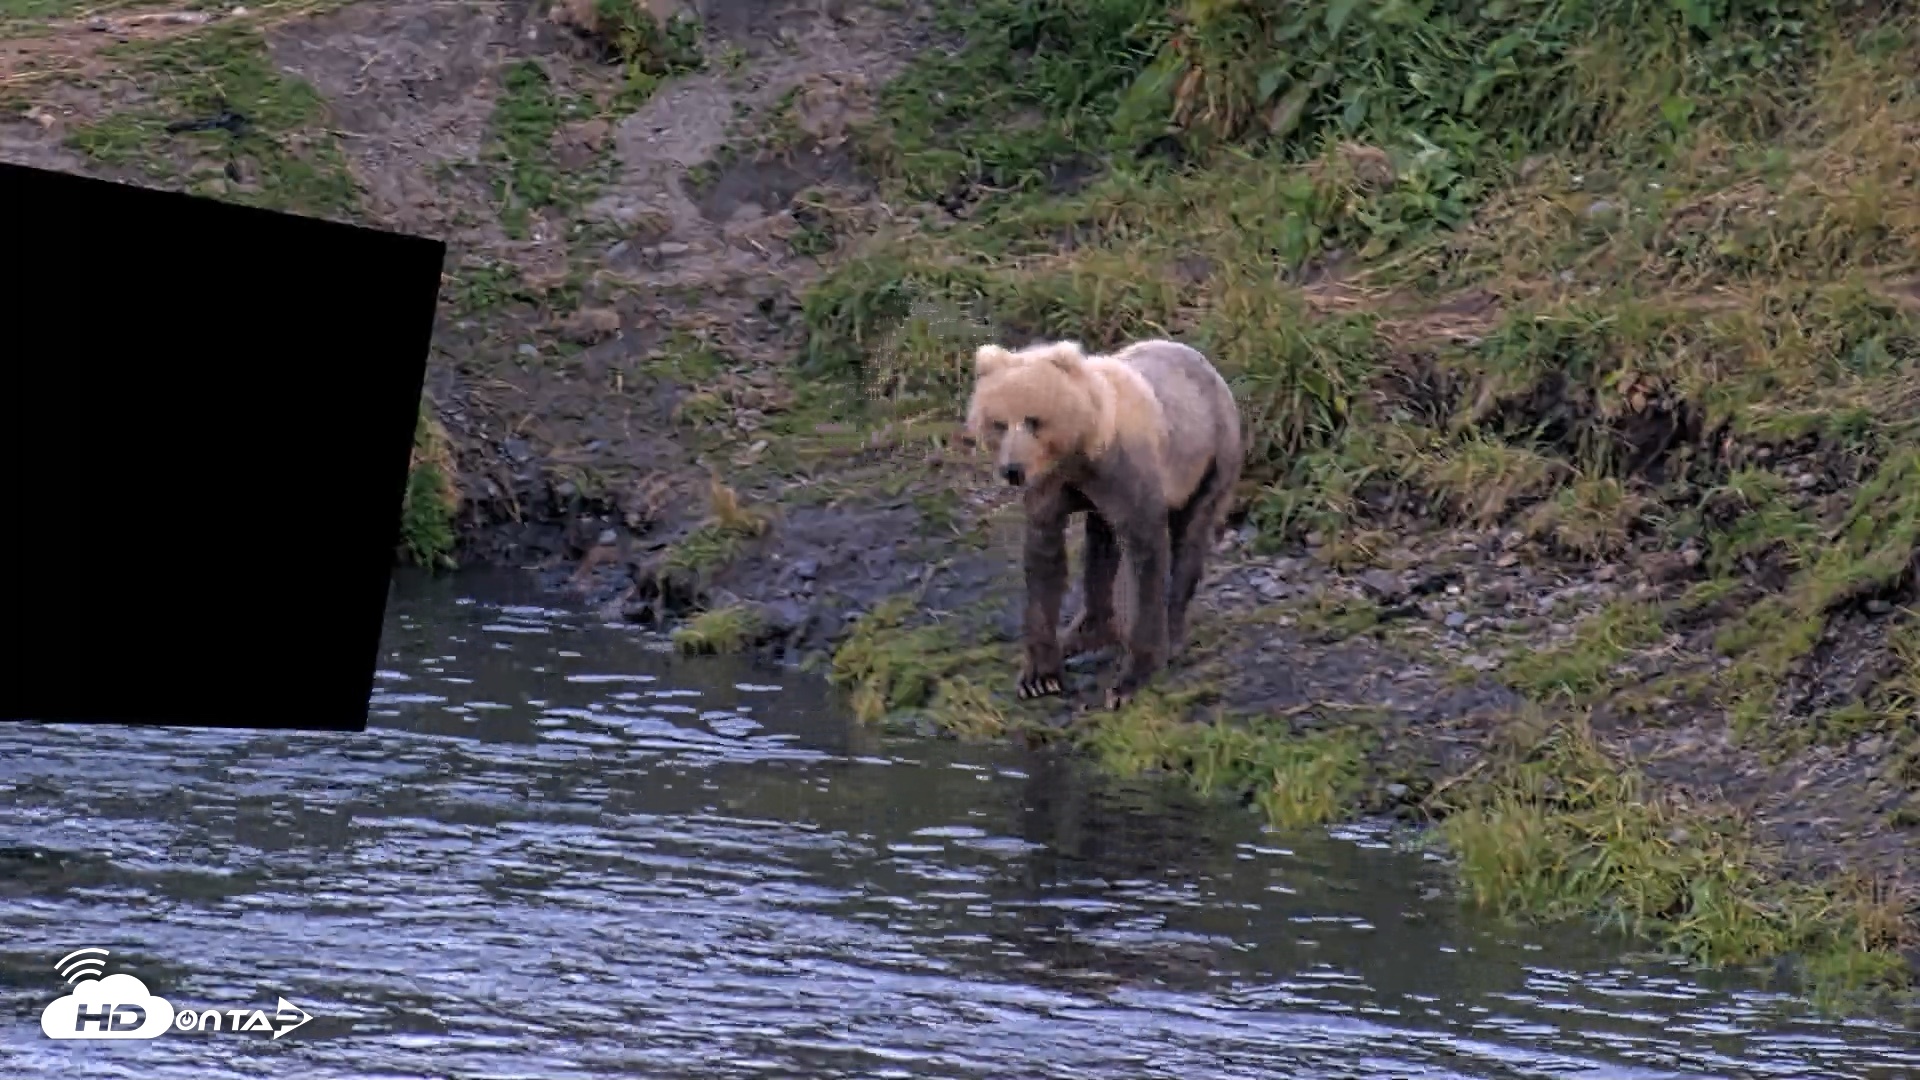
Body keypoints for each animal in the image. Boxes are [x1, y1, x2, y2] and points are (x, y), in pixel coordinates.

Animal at [963, 337, 1243, 710]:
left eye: (1034, 420)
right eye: (998, 423)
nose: (1013, 470)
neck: (1081, 449)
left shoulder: (1126, 474)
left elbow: (1146, 555)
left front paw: (1131, 679)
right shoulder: (1053, 488)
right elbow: (1044, 562)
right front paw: (1038, 677)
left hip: (1211, 457)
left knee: (1190, 537)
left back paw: (1172, 635)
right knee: (1101, 546)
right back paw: (1083, 633)